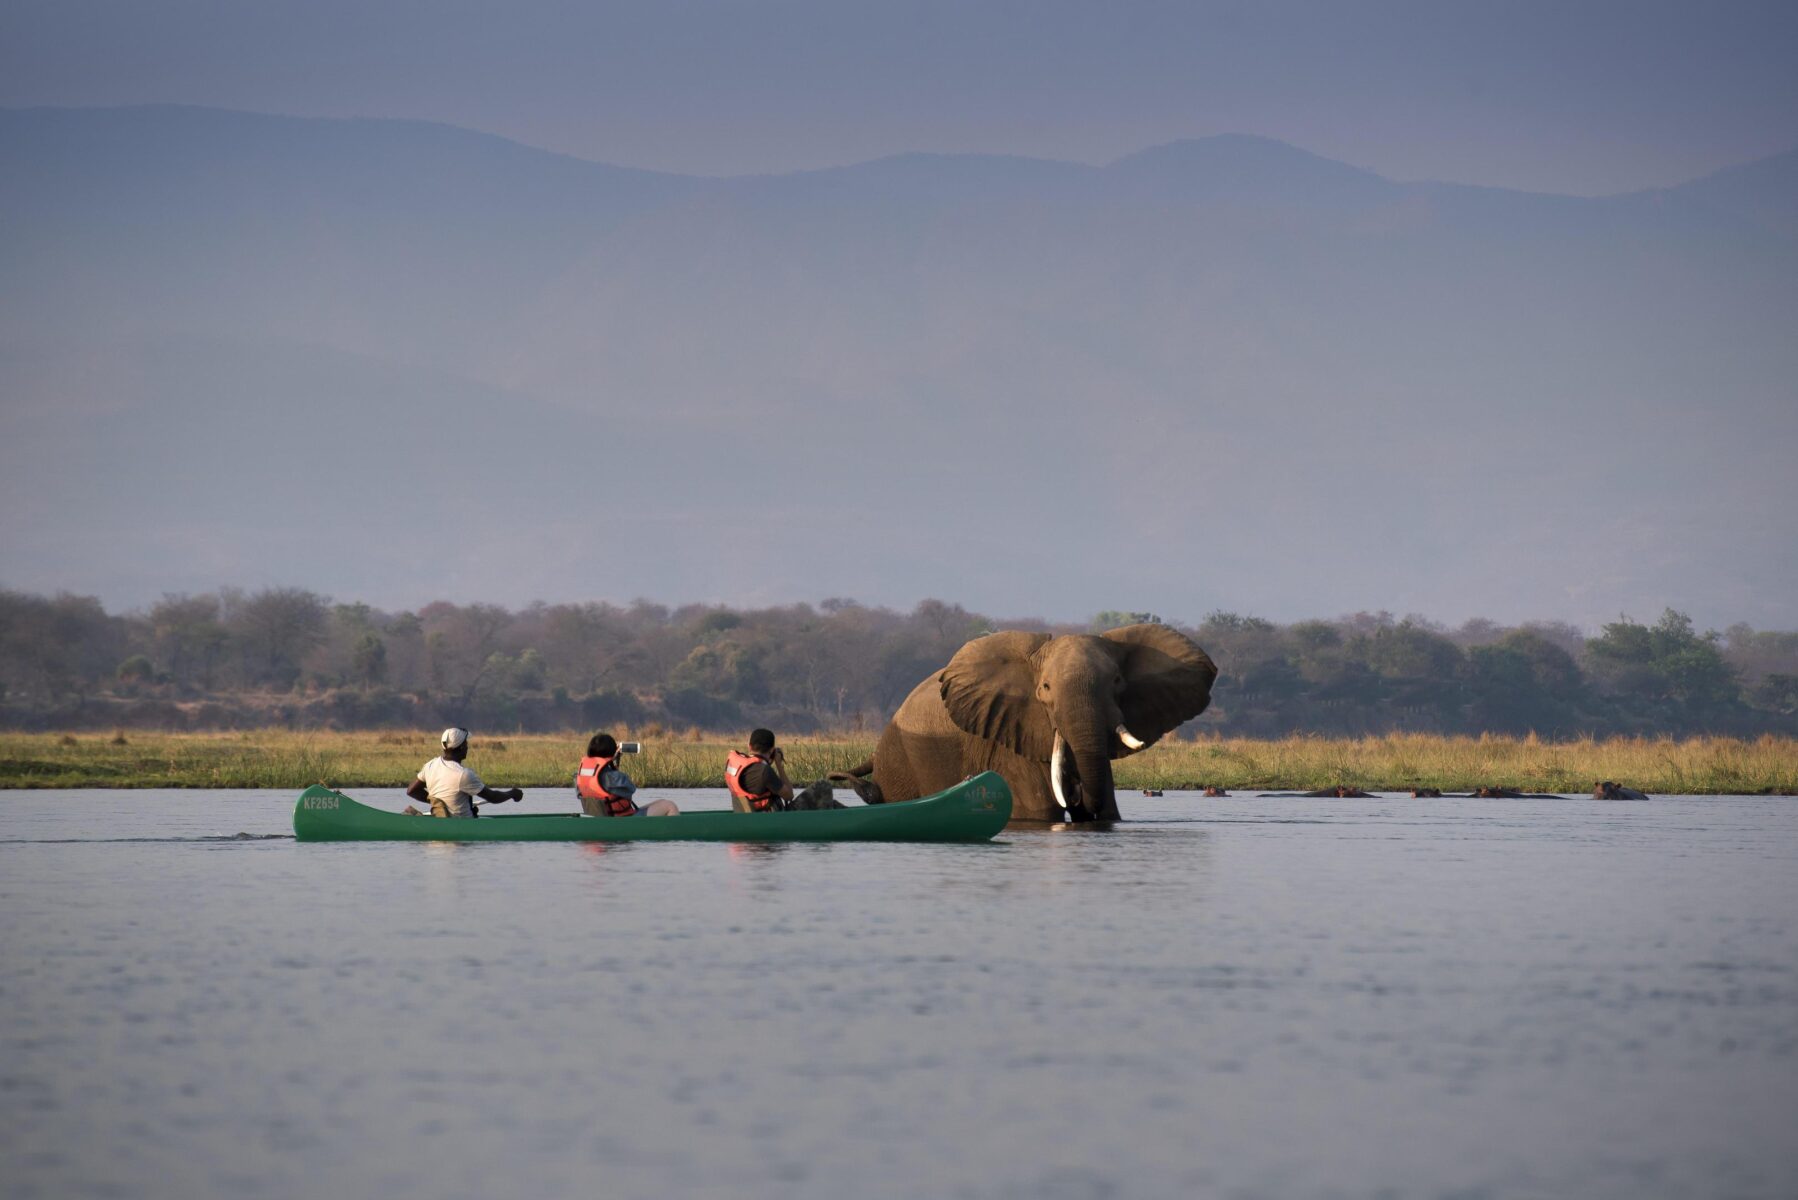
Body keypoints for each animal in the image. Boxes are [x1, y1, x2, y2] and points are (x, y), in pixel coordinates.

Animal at [845, 626, 1215, 820]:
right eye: (1046, 688)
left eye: (1117, 682)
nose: (1077, 795)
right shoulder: (1009, 736)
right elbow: (1042, 811)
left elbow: (1109, 811)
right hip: (901, 761)